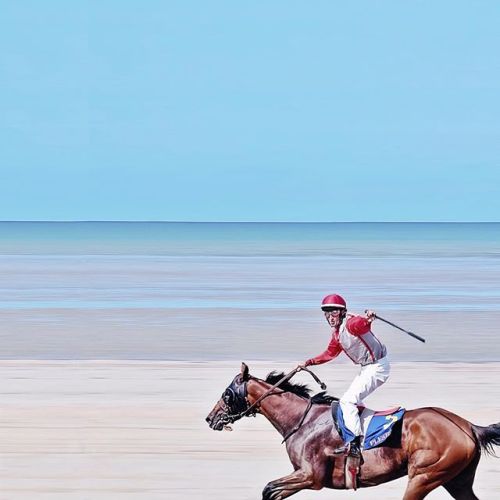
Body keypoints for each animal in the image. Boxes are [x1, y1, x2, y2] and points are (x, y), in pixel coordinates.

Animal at [205, 364, 500, 500]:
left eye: (227, 393)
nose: (210, 418)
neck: (303, 420)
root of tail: (469, 426)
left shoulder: (310, 477)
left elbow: (269, 489)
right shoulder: (303, 476)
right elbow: (271, 491)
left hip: (424, 476)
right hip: (456, 479)